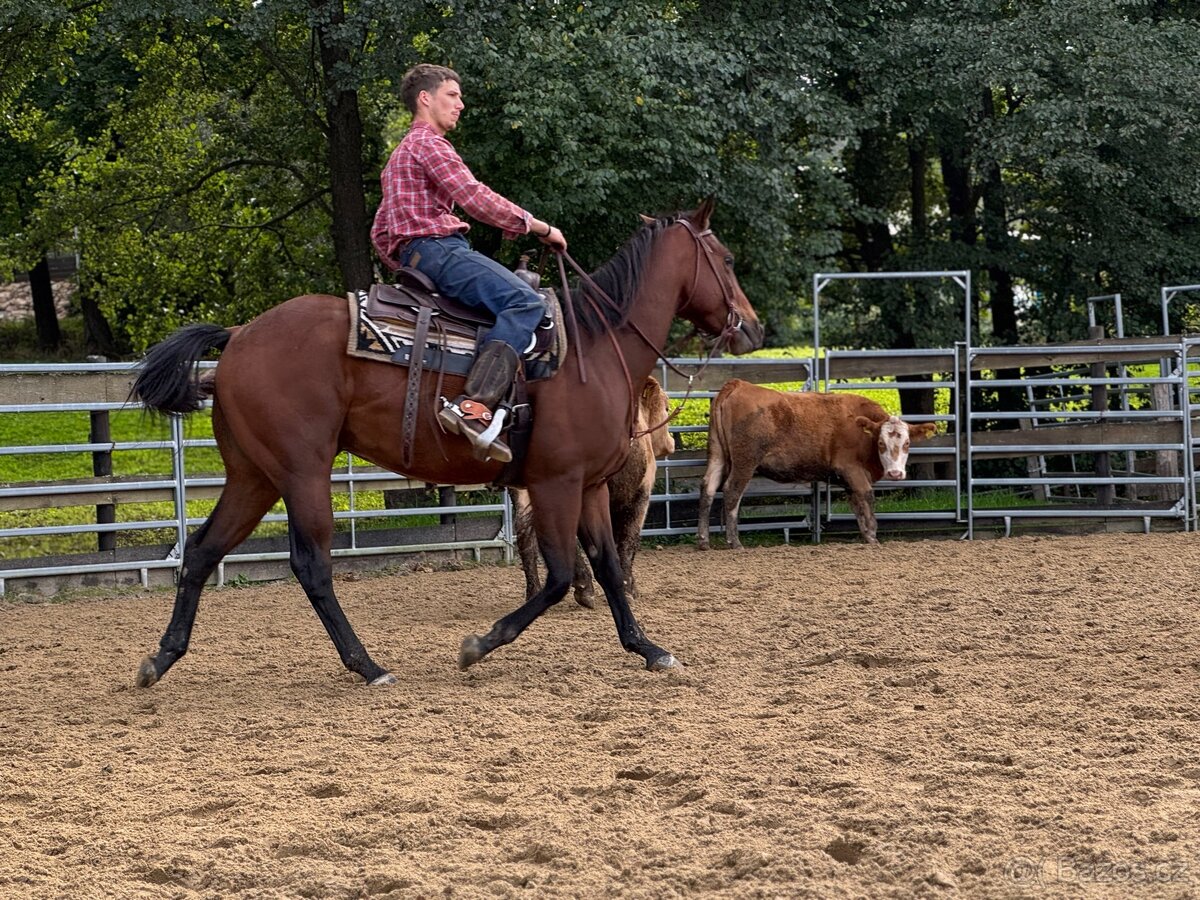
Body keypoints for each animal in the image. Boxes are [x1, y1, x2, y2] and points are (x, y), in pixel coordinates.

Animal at [130, 198, 763, 687]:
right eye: (728, 260)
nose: (753, 327)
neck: (593, 348)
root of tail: (239, 335)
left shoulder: (587, 487)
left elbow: (607, 567)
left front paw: (648, 648)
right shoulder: (555, 484)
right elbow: (560, 576)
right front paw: (480, 645)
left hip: (253, 475)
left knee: (202, 550)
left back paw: (161, 658)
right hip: (301, 473)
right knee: (311, 566)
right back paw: (367, 666)